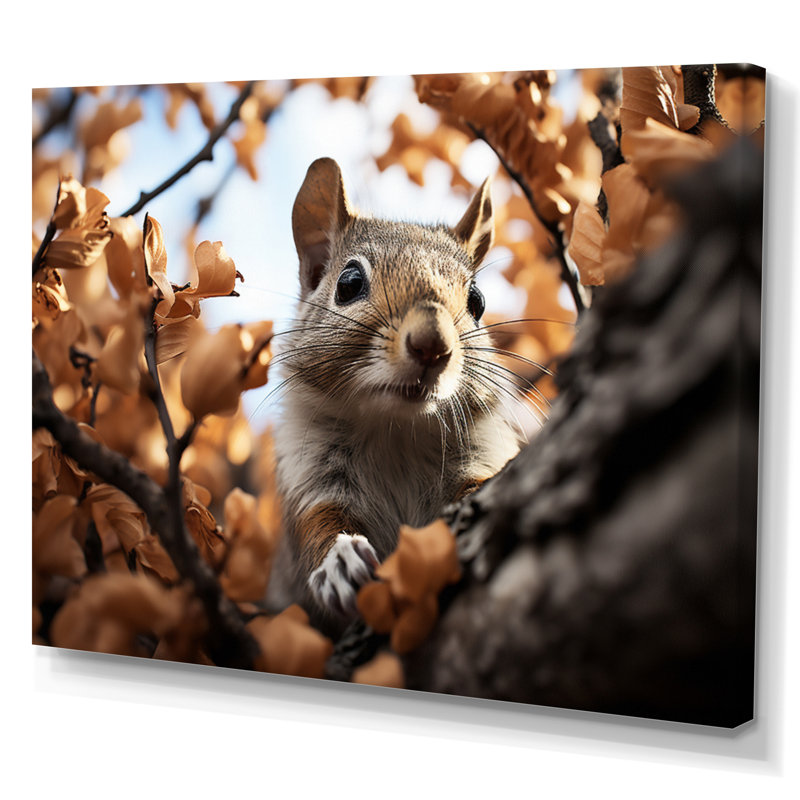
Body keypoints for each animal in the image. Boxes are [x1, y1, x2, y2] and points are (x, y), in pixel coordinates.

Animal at [272, 157, 521, 634]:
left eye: (478, 300)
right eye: (349, 282)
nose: (432, 344)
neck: (396, 431)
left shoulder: (480, 452)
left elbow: (480, 481)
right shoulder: (312, 477)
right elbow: (318, 527)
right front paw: (339, 562)